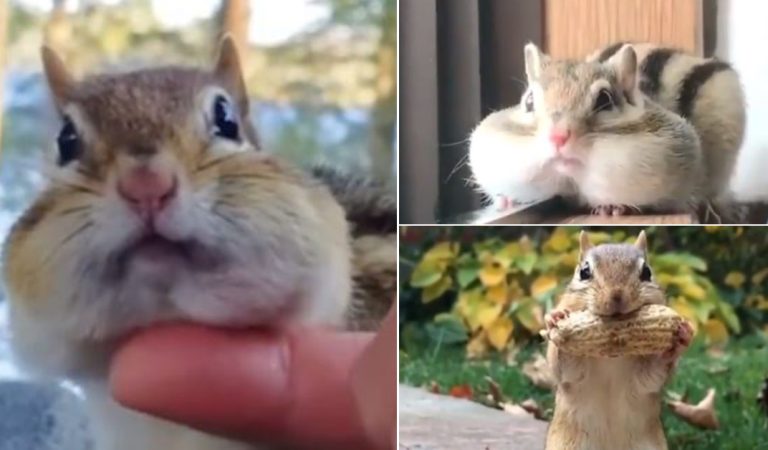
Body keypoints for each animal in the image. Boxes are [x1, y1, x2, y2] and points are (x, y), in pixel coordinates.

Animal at [543, 230, 693, 450]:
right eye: (584, 272)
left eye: (647, 272)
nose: (616, 296)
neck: (612, 355)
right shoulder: (571, 379)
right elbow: (565, 368)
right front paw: (557, 318)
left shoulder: (642, 382)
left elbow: (652, 376)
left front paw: (682, 334)